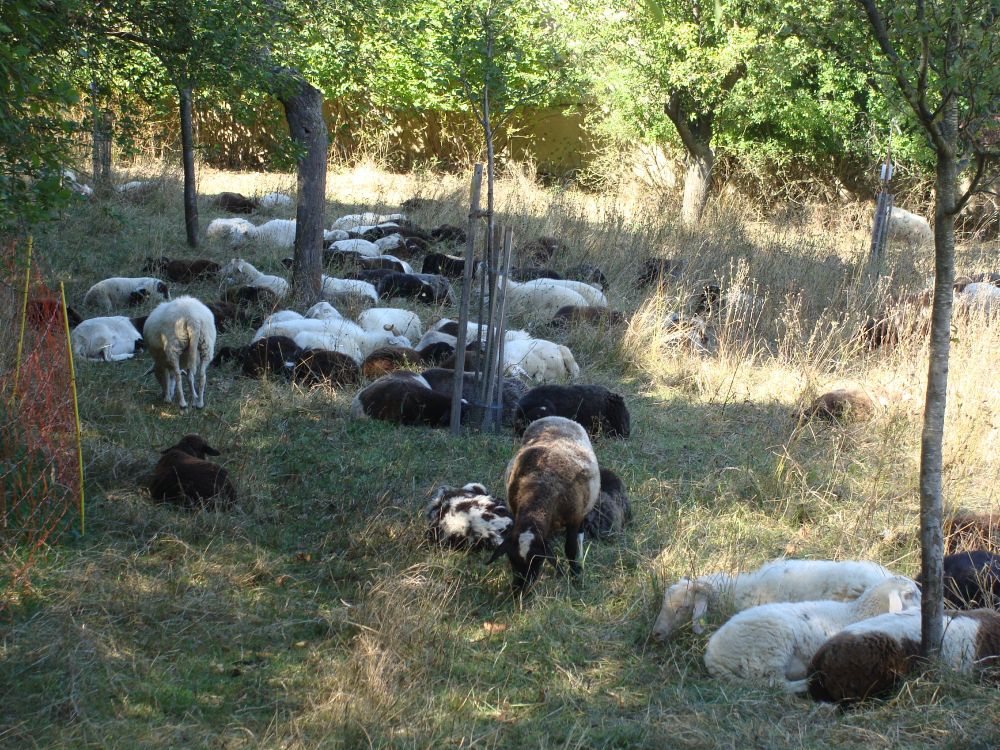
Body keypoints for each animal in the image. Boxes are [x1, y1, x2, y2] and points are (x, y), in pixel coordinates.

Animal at [488, 416, 600, 591]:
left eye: (538, 559)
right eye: (512, 559)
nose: (519, 590)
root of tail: (557, 417)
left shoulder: (574, 518)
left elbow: (570, 549)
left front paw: (575, 574)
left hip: (584, 509)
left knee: (580, 535)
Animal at [703, 576, 920, 692]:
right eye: (911, 594)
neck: (857, 612)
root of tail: (712, 656)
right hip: (769, 649)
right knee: (776, 684)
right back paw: (804, 684)